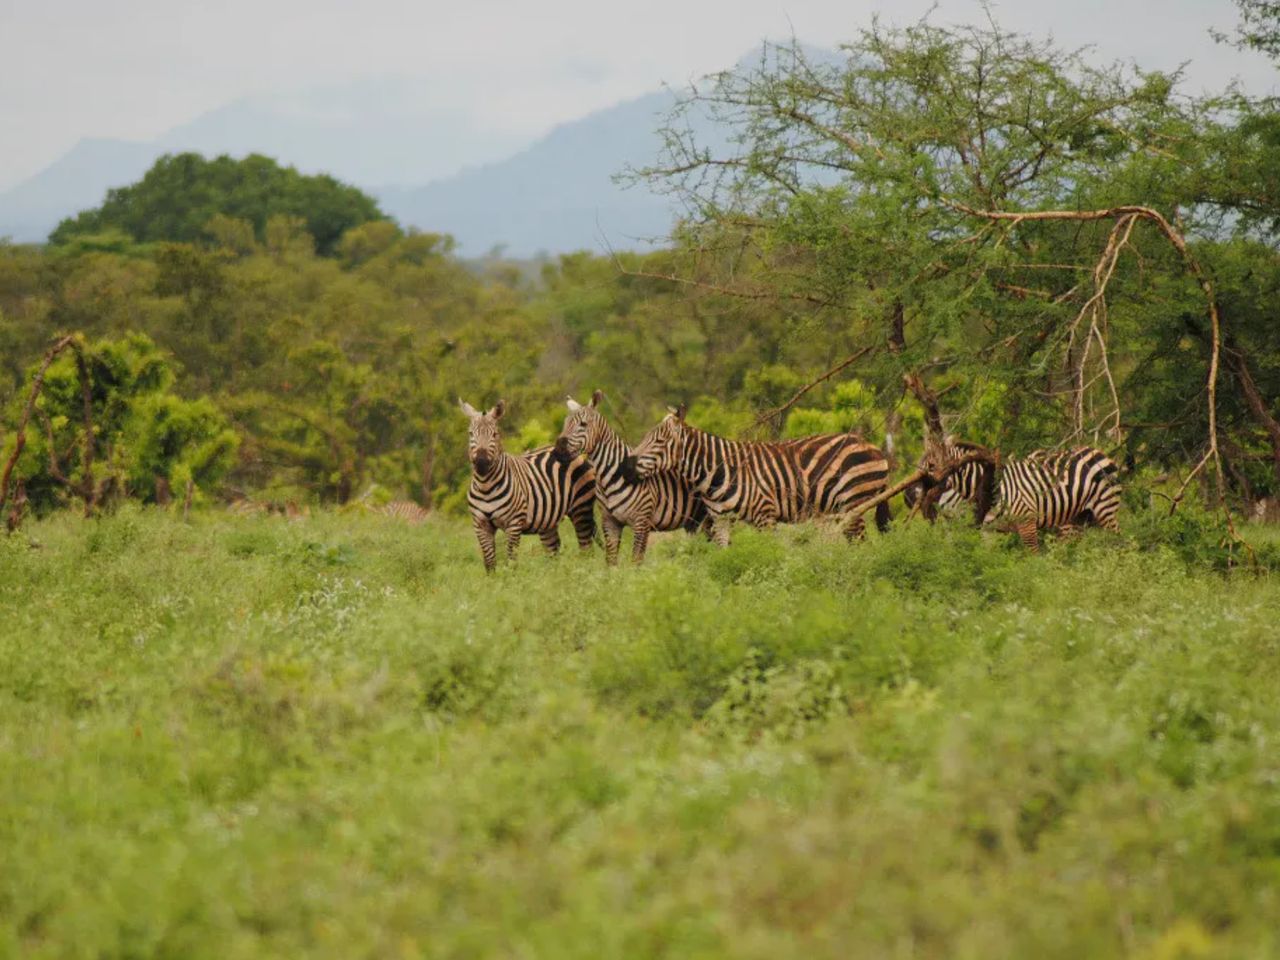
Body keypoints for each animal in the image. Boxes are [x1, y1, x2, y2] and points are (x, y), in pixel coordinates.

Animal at [460, 399, 599, 570]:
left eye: (495, 434)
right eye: (470, 434)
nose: (481, 463)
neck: (486, 487)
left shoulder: (513, 523)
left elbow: (511, 561)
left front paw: (511, 577)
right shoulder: (480, 525)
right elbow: (490, 564)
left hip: (581, 508)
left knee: (586, 548)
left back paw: (586, 572)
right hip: (547, 522)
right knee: (554, 551)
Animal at [550, 391, 711, 563]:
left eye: (583, 424)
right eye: (565, 424)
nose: (557, 451)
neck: (609, 477)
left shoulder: (642, 522)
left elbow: (636, 560)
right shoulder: (609, 522)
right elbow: (611, 560)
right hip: (694, 520)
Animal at [622, 401, 890, 545]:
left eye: (659, 441)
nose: (626, 467)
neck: (718, 472)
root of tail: (875, 448)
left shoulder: (766, 516)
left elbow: (768, 555)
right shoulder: (721, 521)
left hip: (855, 502)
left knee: (862, 545)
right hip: (845, 509)